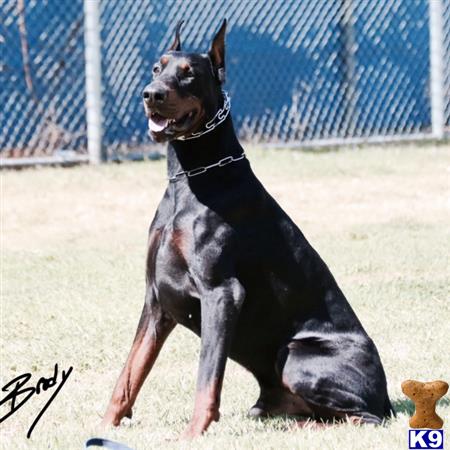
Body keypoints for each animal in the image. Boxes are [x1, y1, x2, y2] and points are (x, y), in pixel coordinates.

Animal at [103, 19, 394, 438]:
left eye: (189, 74)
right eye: (157, 69)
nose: (151, 94)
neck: (189, 180)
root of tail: (386, 396)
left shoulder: (221, 294)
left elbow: (207, 377)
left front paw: (192, 435)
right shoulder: (156, 296)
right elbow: (131, 371)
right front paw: (104, 425)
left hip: (296, 354)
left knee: (362, 419)